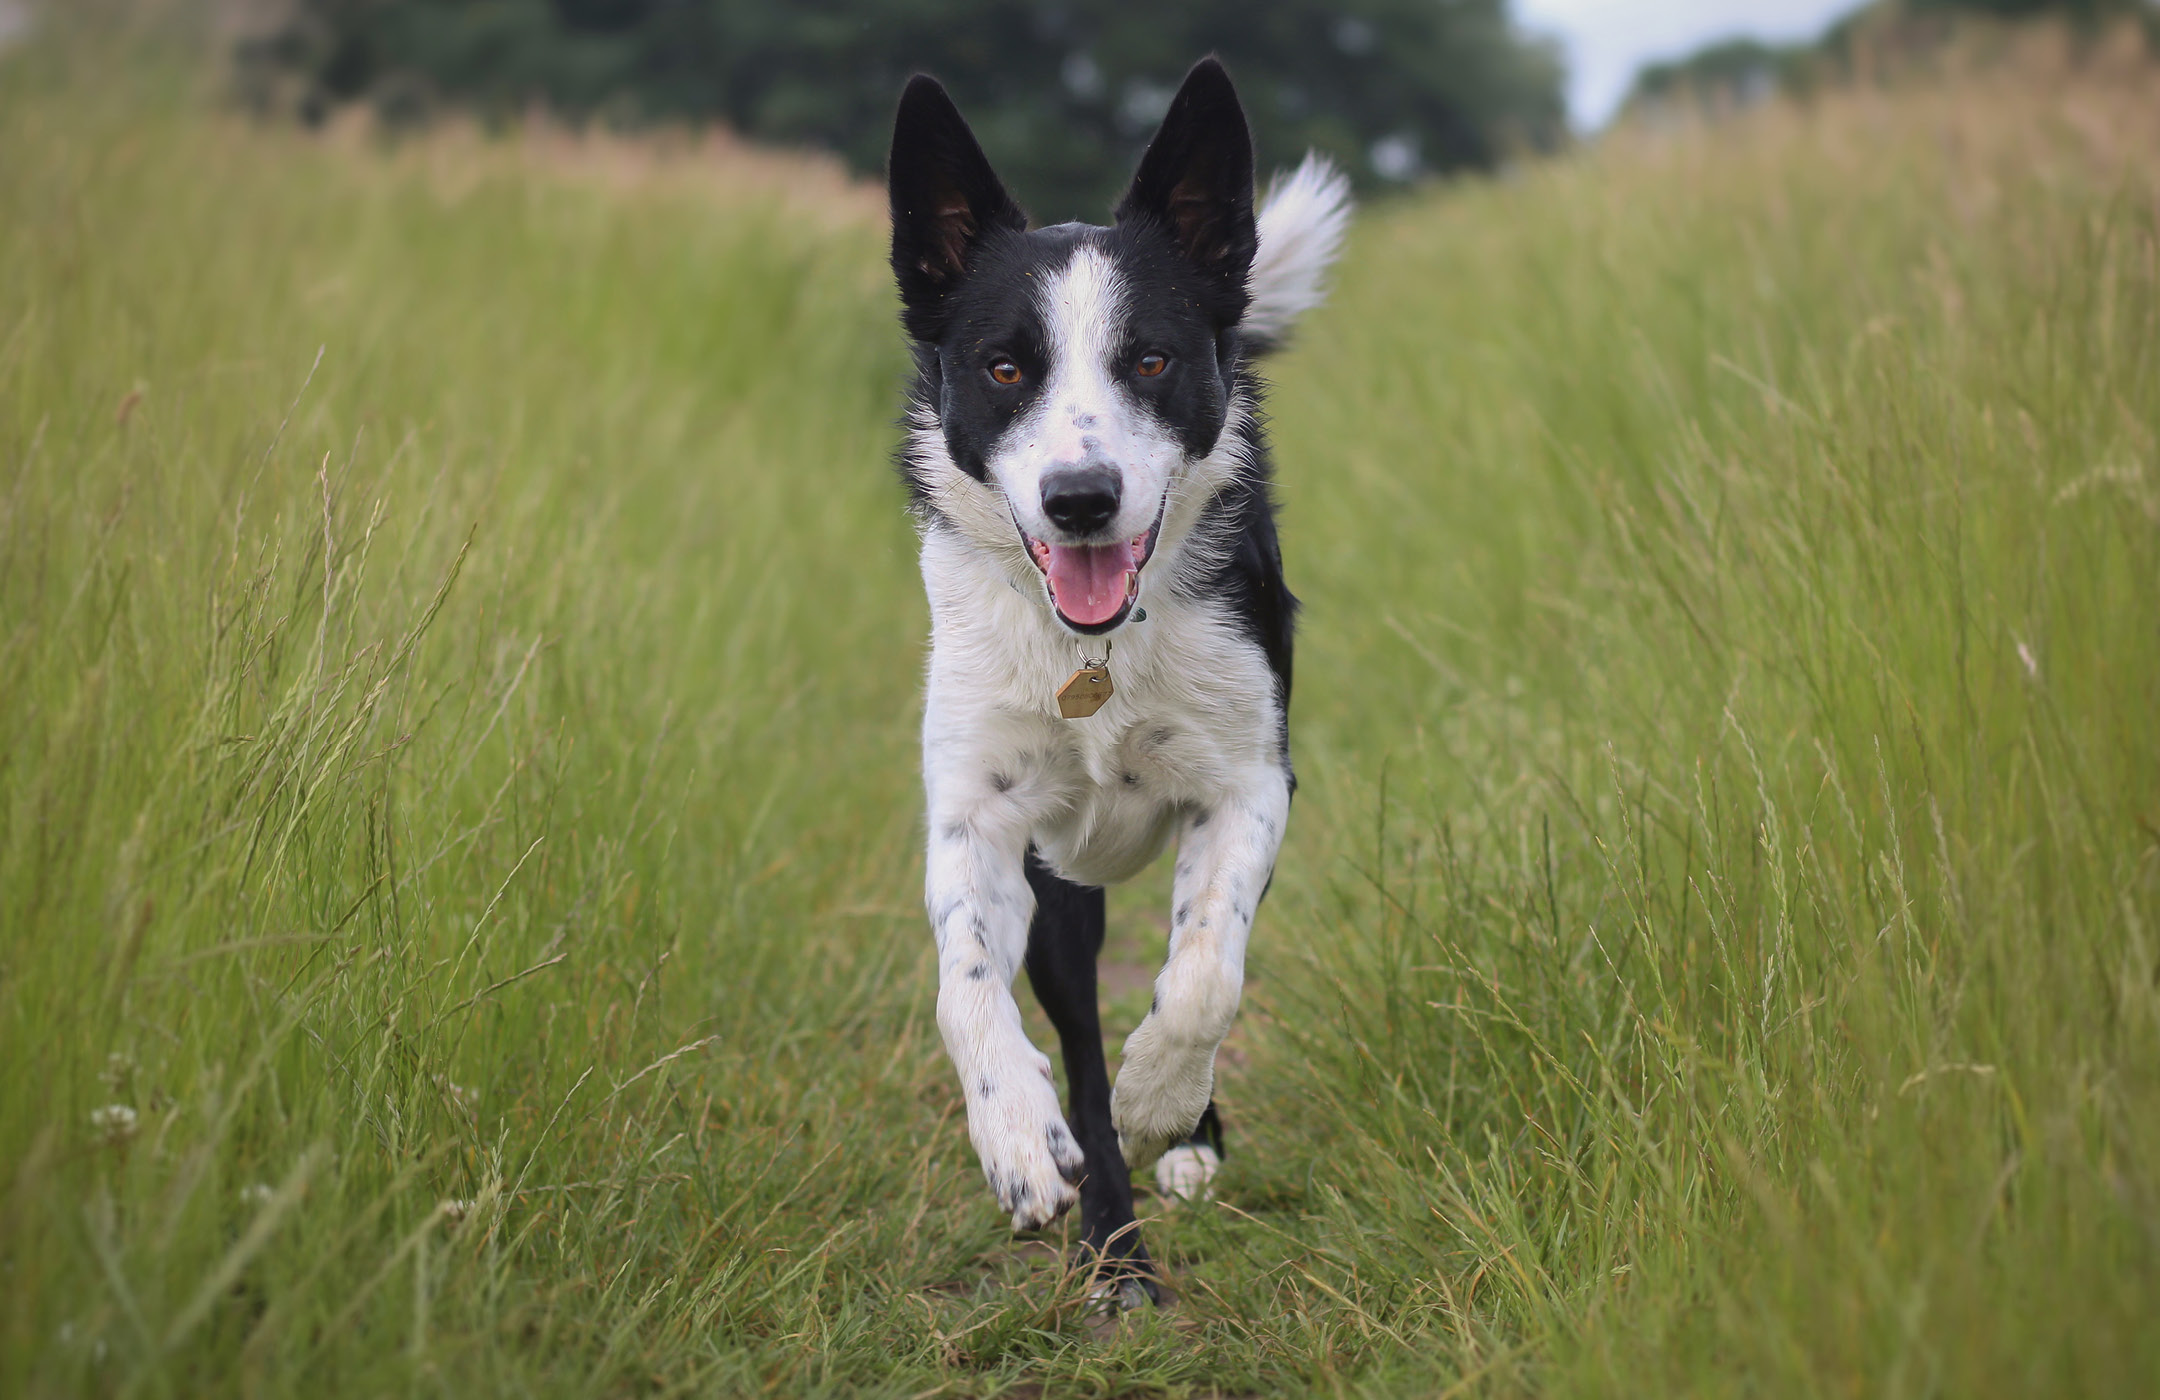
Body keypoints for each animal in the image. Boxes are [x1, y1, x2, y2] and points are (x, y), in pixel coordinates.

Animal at [885, 57, 1339, 1304]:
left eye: (1151, 360)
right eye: (1003, 368)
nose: (1080, 498)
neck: (1096, 648)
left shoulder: (1250, 781)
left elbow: (1204, 971)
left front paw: (1166, 1100)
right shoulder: (982, 813)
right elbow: (964, 980)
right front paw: (1016, 1137)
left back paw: (1179, 1139)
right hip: (1065, 897)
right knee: (1074, 1036)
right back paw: (1114, 1245)